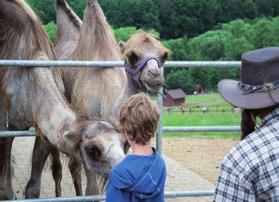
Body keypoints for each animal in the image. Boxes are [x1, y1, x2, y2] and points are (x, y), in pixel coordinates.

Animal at [0, 0, 126, 200]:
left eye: (124, 143)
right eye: (93, 150)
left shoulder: (42, 127)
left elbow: (34, 188)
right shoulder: (5, 124)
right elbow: (6, 191)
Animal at [26, 0, 170, 197]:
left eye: (164, 55)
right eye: (132, 56)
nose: (155, 76)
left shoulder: (120, 143)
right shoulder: (88, 138)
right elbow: (92, 188)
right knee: (61, 166)